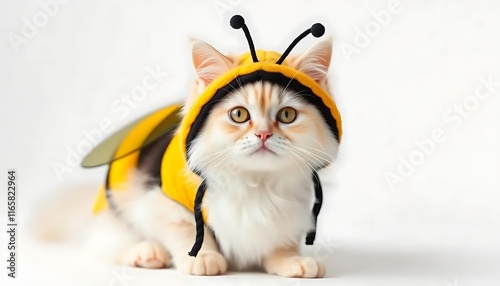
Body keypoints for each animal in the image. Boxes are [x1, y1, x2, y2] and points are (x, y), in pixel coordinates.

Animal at [73, 36, 336, 278]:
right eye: (239, 115)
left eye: (287, 115)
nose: (263, 134)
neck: (255, 181)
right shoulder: (162, 203)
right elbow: (189, 230)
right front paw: (204, 257)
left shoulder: (291, 213)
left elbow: (281, 243)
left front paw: (293, 261)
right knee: (108, 245)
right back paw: (147, 253)